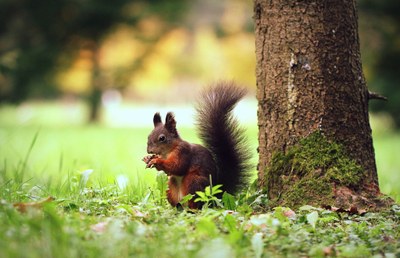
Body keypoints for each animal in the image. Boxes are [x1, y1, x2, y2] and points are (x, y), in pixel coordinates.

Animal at [142, 81, 252, 209]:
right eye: (149, 136)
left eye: (162, 138)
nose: (149, 150)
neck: (167, 152)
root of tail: (214, 197)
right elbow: (169, 172)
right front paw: (148, 158)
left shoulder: (183, 152)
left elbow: (177, 166)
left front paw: (156, 161)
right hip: (170, 187)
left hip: (194, 182)